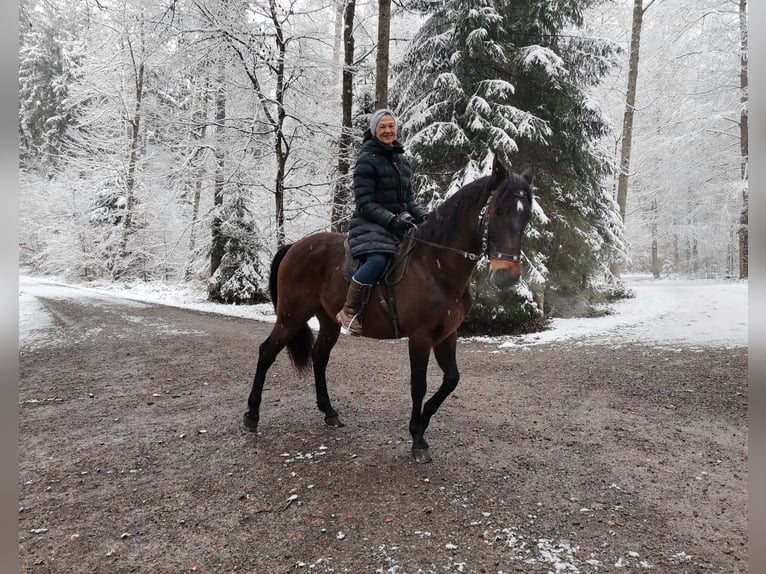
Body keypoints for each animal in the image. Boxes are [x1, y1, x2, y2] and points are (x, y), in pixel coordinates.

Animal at [246, 158, 536, 464]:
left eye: (527, 216)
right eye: (499, 210)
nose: (507, 276)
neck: (435, 266)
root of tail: (293, 246)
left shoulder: (447, 335)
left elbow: (451, 380)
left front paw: (422, 424)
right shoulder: (420, 338)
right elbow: (418, 384)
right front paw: (417, 438)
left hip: (328, 321)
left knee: (319, 357)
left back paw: (329, 412)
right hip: (291, 315)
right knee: (267, 352)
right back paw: (252, 414)